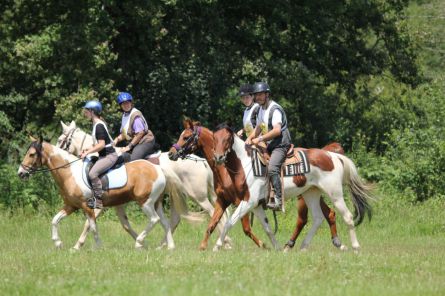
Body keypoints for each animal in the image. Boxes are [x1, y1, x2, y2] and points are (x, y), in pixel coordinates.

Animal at [17, 136, 173, 250]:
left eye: (31, 154)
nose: (21, 173)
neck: (69, 173)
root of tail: (157, 169)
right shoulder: (71, 206)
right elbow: (55, 220)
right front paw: (58, 242)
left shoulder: (88, 206)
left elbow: (91, 226)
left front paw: (97, 246)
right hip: (157, 203)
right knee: (165, 222)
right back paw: (169, 247)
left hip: (145, 202)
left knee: (154, 219)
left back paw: (139, 242)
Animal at [56, 121, 232, 249]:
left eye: (60, 140)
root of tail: (202, 162)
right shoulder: (116, 203)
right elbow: (124, 224)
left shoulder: (100, 203)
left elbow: (89, 223)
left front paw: (78, 245)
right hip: (178, 196)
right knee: (175, 220)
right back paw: (163, 245)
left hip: (198, 197)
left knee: (214, 213)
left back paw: (226, 242)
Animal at [168, 119, 280, 251]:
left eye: (186, 137)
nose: (171, 153)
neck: (227, 171)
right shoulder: (223, 200)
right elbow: (212, 224)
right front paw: (203, 247)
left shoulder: (242, 201)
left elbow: (246, 229)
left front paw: (263, 245)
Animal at [212, 123, 374, 251]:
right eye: (214, 137)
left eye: (227, 139)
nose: (218, 157)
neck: (247, 165)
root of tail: (332, 156)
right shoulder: (256, 205)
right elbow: (268, 228)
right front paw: (276, 248)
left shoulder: (248, 202)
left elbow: (228, 223)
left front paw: (217, 246)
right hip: (311, 193)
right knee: (318, 218)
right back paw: (302, 246)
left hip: (335, 194)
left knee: (347, 217)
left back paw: (355, 247)